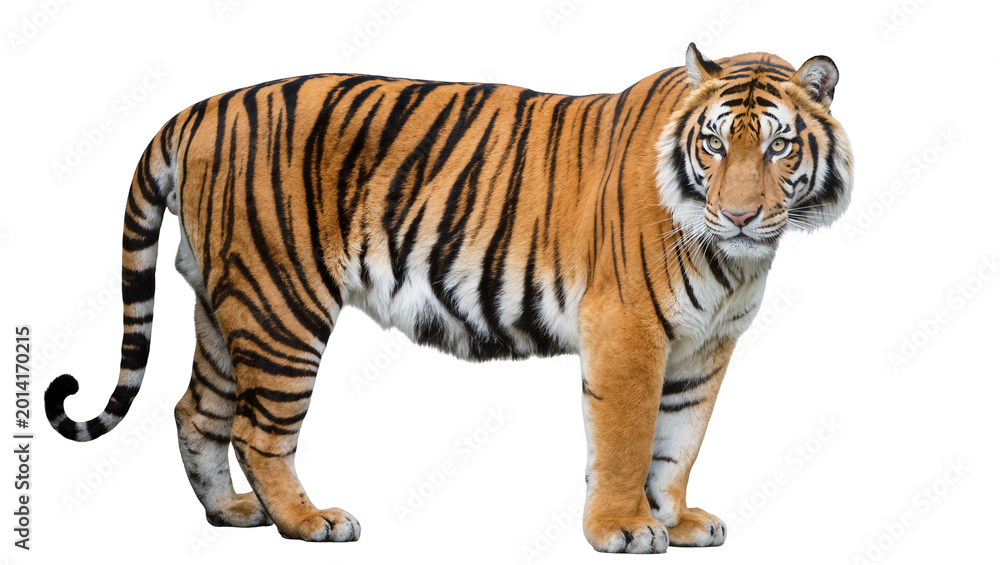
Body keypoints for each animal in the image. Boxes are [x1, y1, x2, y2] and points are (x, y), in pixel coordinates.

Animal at [44, 43, 852, 553]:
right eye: (714, 145)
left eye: (778, 146)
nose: (740, 215)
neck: (735, 259)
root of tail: (199, 108)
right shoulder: (627, 331)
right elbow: (627, 441)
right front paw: (623, 529)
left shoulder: (704, 346)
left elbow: (677, 443)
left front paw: (675, 520)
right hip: (282, 305)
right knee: (256, 426)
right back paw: (308, 521)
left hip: (223, 305)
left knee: (196, 410)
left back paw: (233, 512)